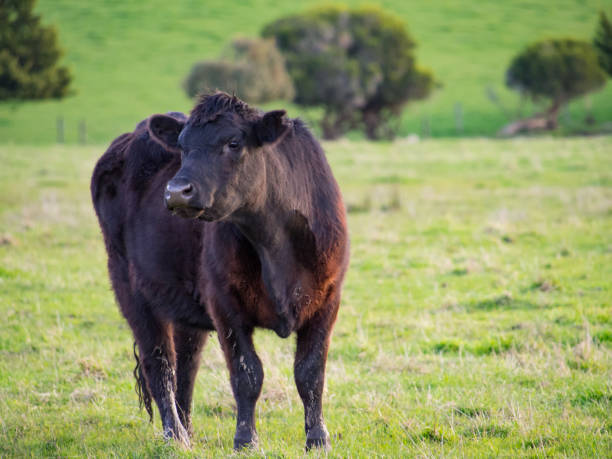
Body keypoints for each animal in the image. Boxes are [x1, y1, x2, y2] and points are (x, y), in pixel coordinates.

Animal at [91, 93, 350, 452]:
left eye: (234, 142)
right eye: (182, 146)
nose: (176, 191)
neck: (275, 244)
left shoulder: (327, 300)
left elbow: (310, 374)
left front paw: (317, 439)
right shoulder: (225, 303)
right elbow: (247, 374)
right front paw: (246, 439)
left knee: (186, 365)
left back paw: (188, 431)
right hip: (130, 288)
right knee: (160, 364)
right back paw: (175, 436)